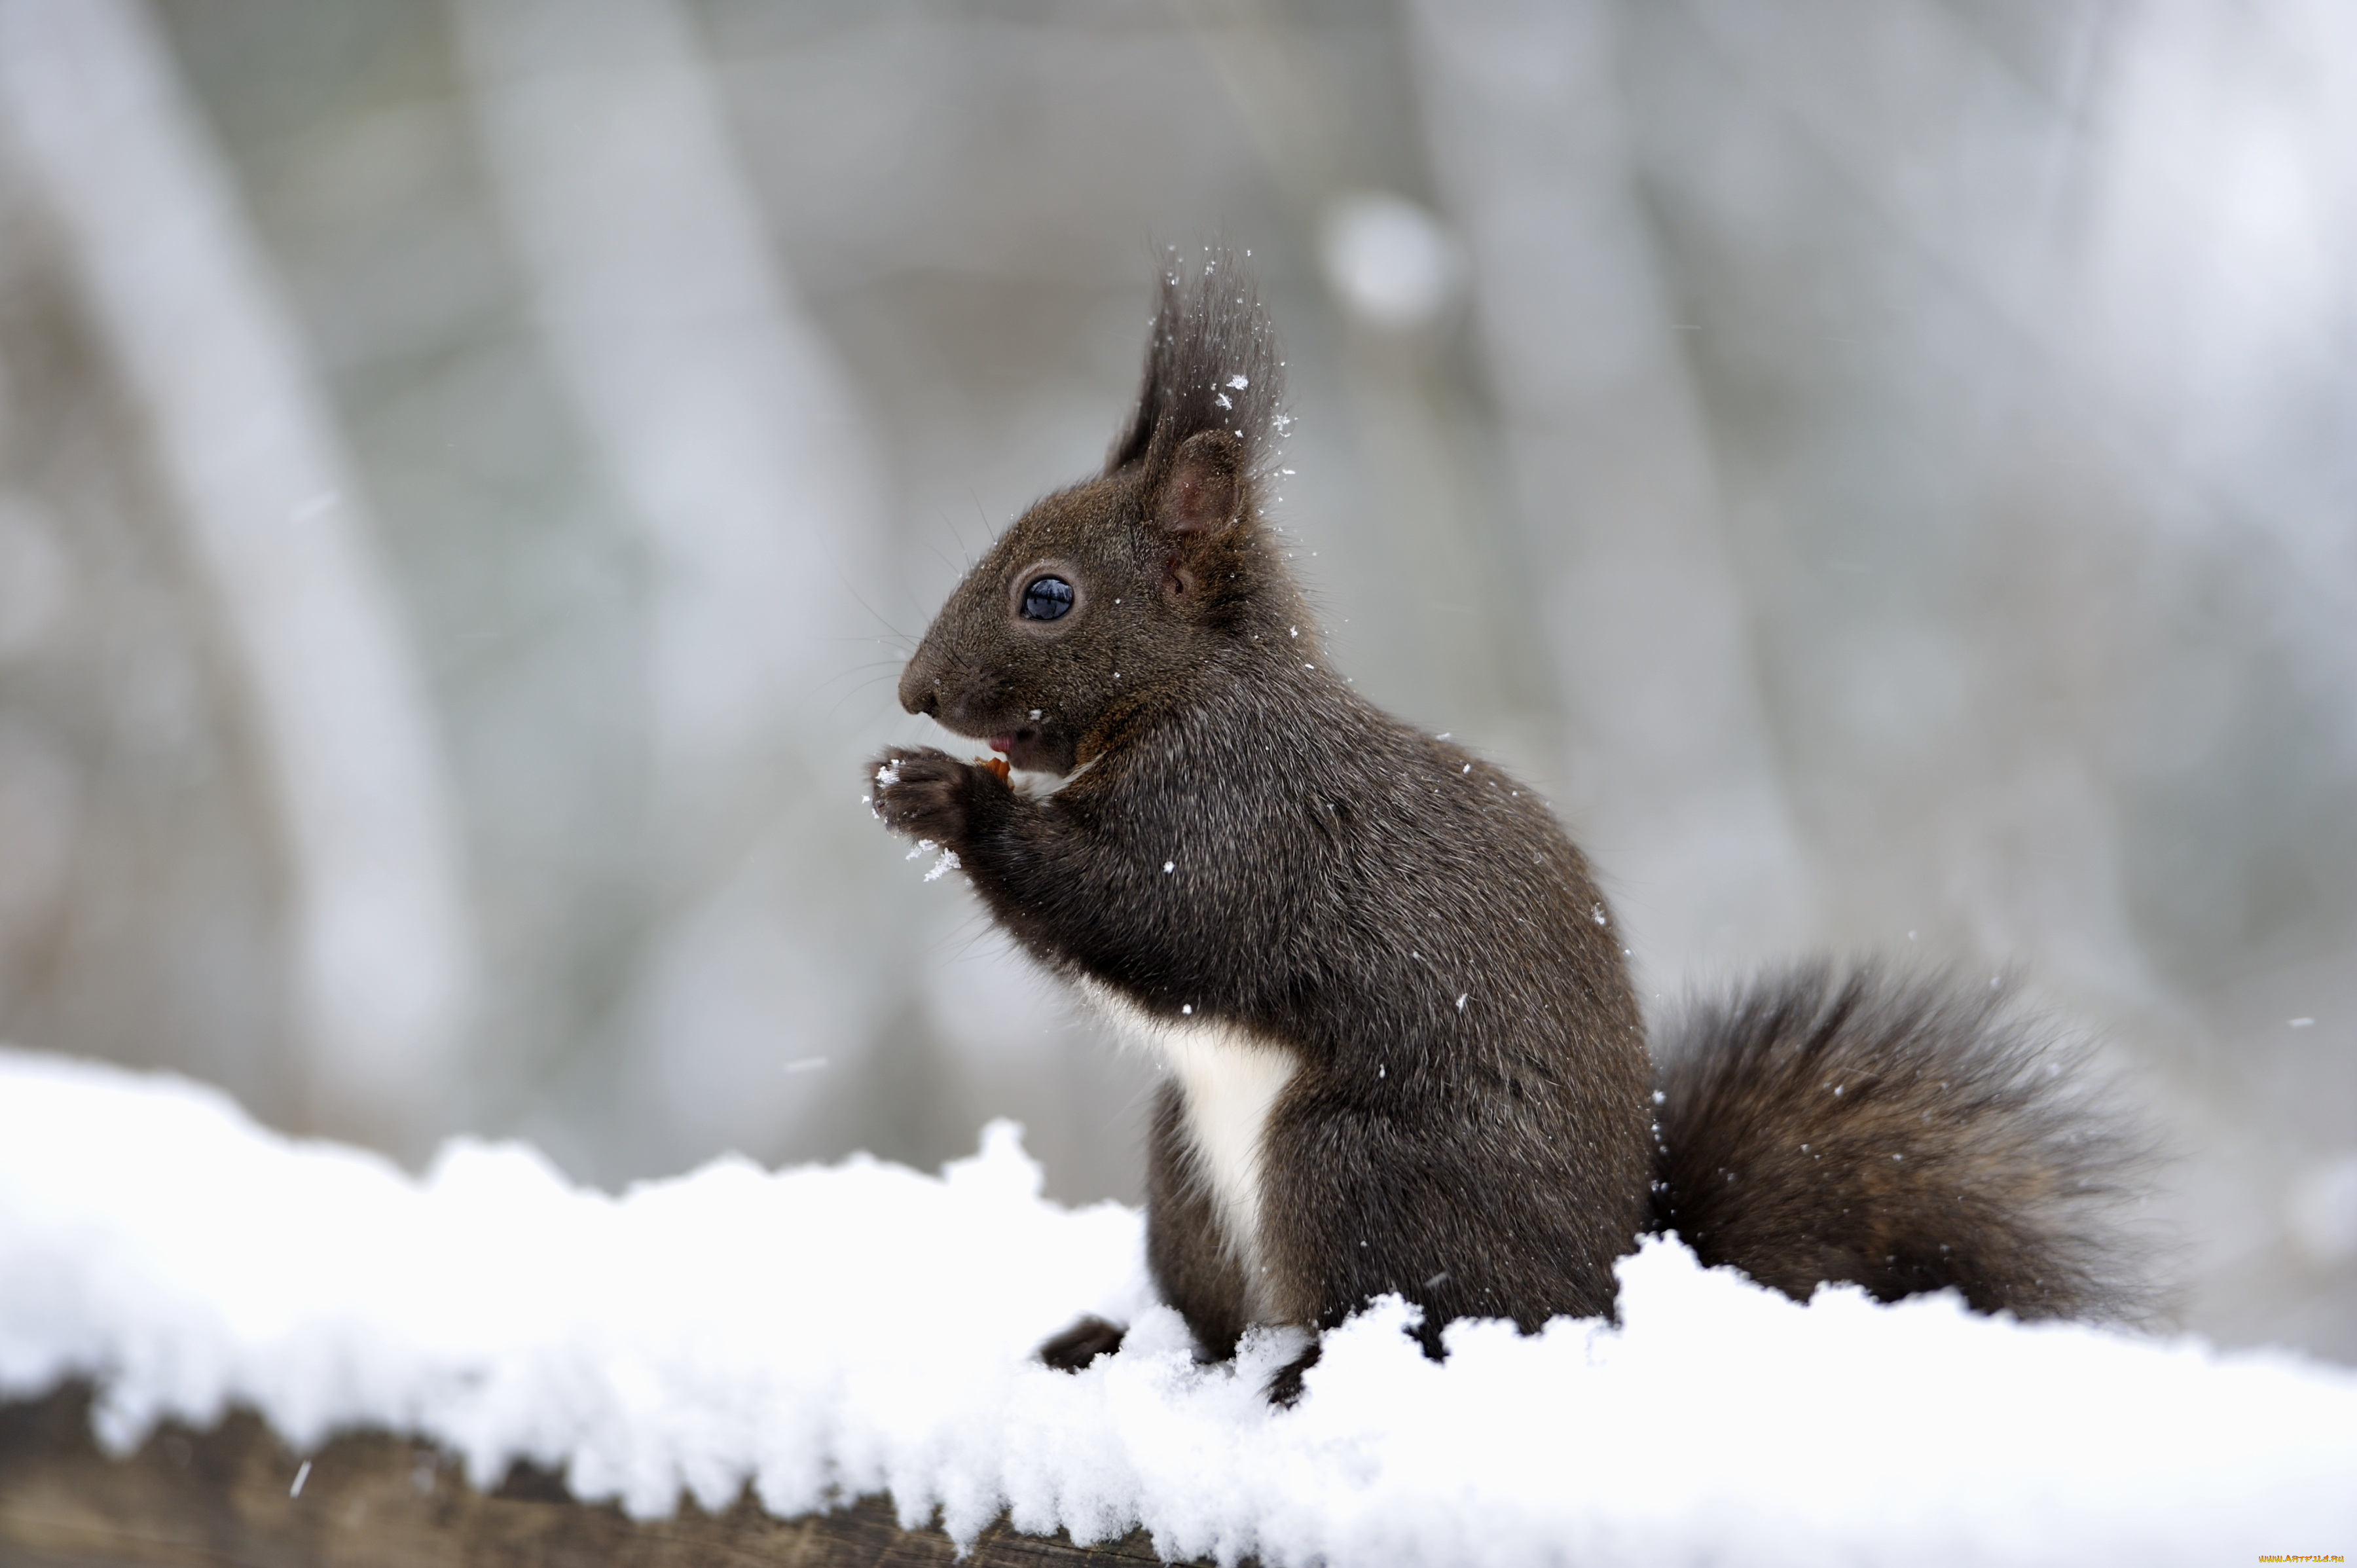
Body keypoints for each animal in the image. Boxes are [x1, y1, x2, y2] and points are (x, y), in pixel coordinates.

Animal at [872, 251, 2159, 1396]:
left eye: (1048, 595)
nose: (914, 693)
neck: (1194, 689)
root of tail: (1604, 1286)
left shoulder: (1239, 814)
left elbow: (1144, 911)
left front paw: (945, 796)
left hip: (1355, 1167)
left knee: (1405, 1316)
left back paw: (1309, 1375)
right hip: (1187, 1176)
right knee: (1214, 1320)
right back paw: (1120, 1349)